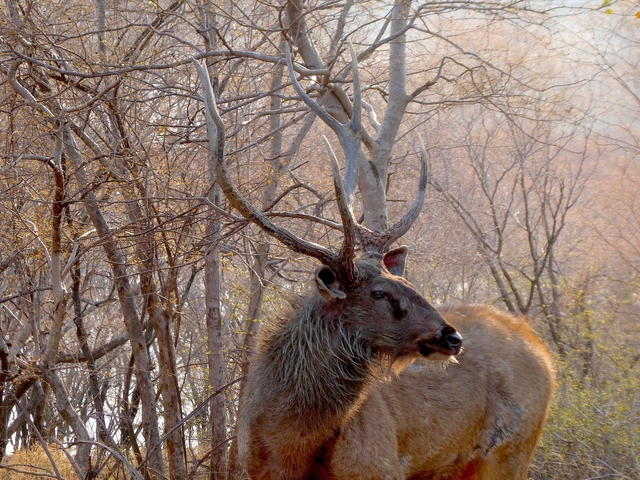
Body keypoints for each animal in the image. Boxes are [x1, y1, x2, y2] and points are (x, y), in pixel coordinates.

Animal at [194, 42, 556, 480]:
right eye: (380, 293)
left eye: (409, 285)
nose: (451, 337)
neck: (288, 448)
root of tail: (546, 356)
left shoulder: (378, 467)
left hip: (510, 453)